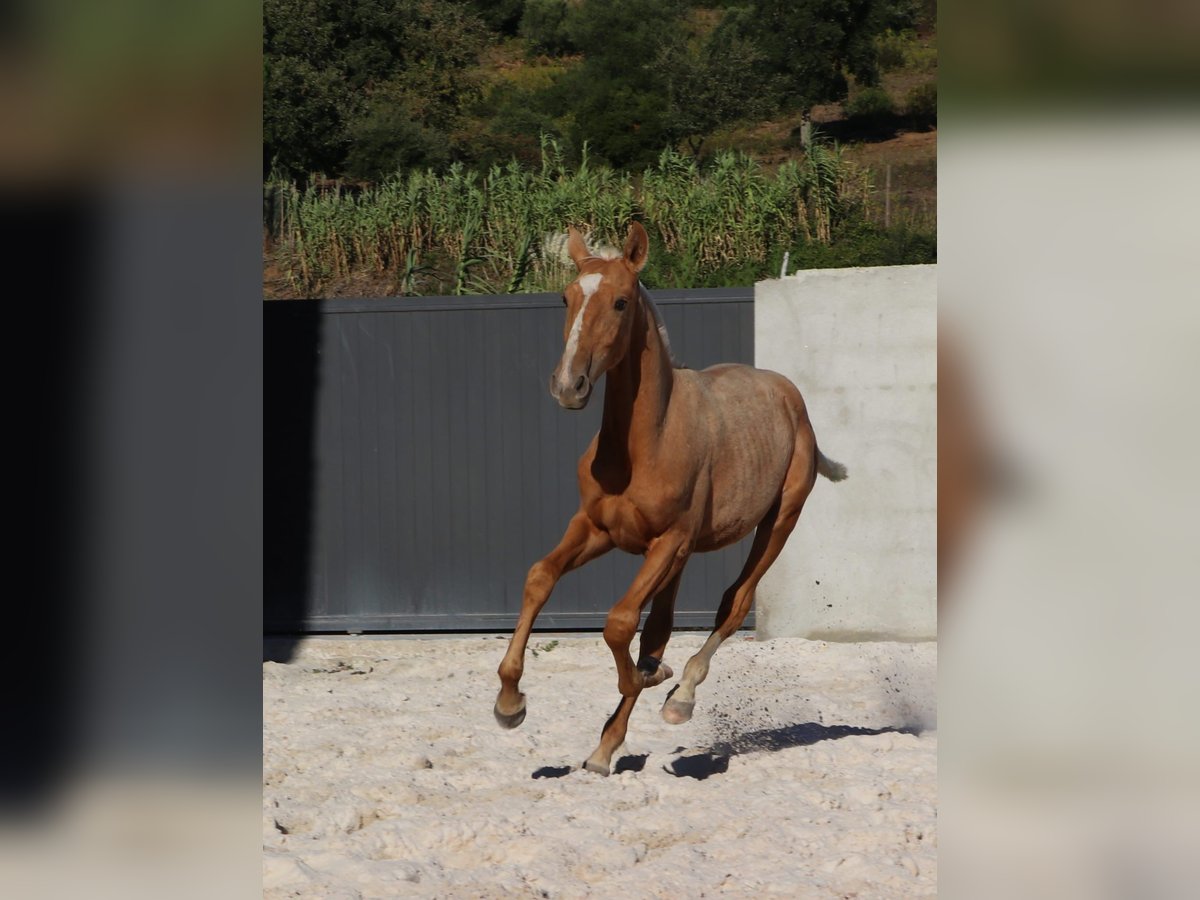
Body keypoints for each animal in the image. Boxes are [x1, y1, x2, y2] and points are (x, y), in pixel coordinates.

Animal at [492, 224, 849, 777]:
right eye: (566, 298)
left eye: (620, 302)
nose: (568, 386)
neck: (646, 442)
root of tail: (791, 397)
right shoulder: (596, 528)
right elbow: (540, 578)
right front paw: (510, 703)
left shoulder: (667, 542)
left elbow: (619, 622)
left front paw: (652, 679)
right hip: (682, 556)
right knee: (659, 627)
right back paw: (605, 748)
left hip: (776, 524)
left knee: (732, 603)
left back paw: (680, 695)